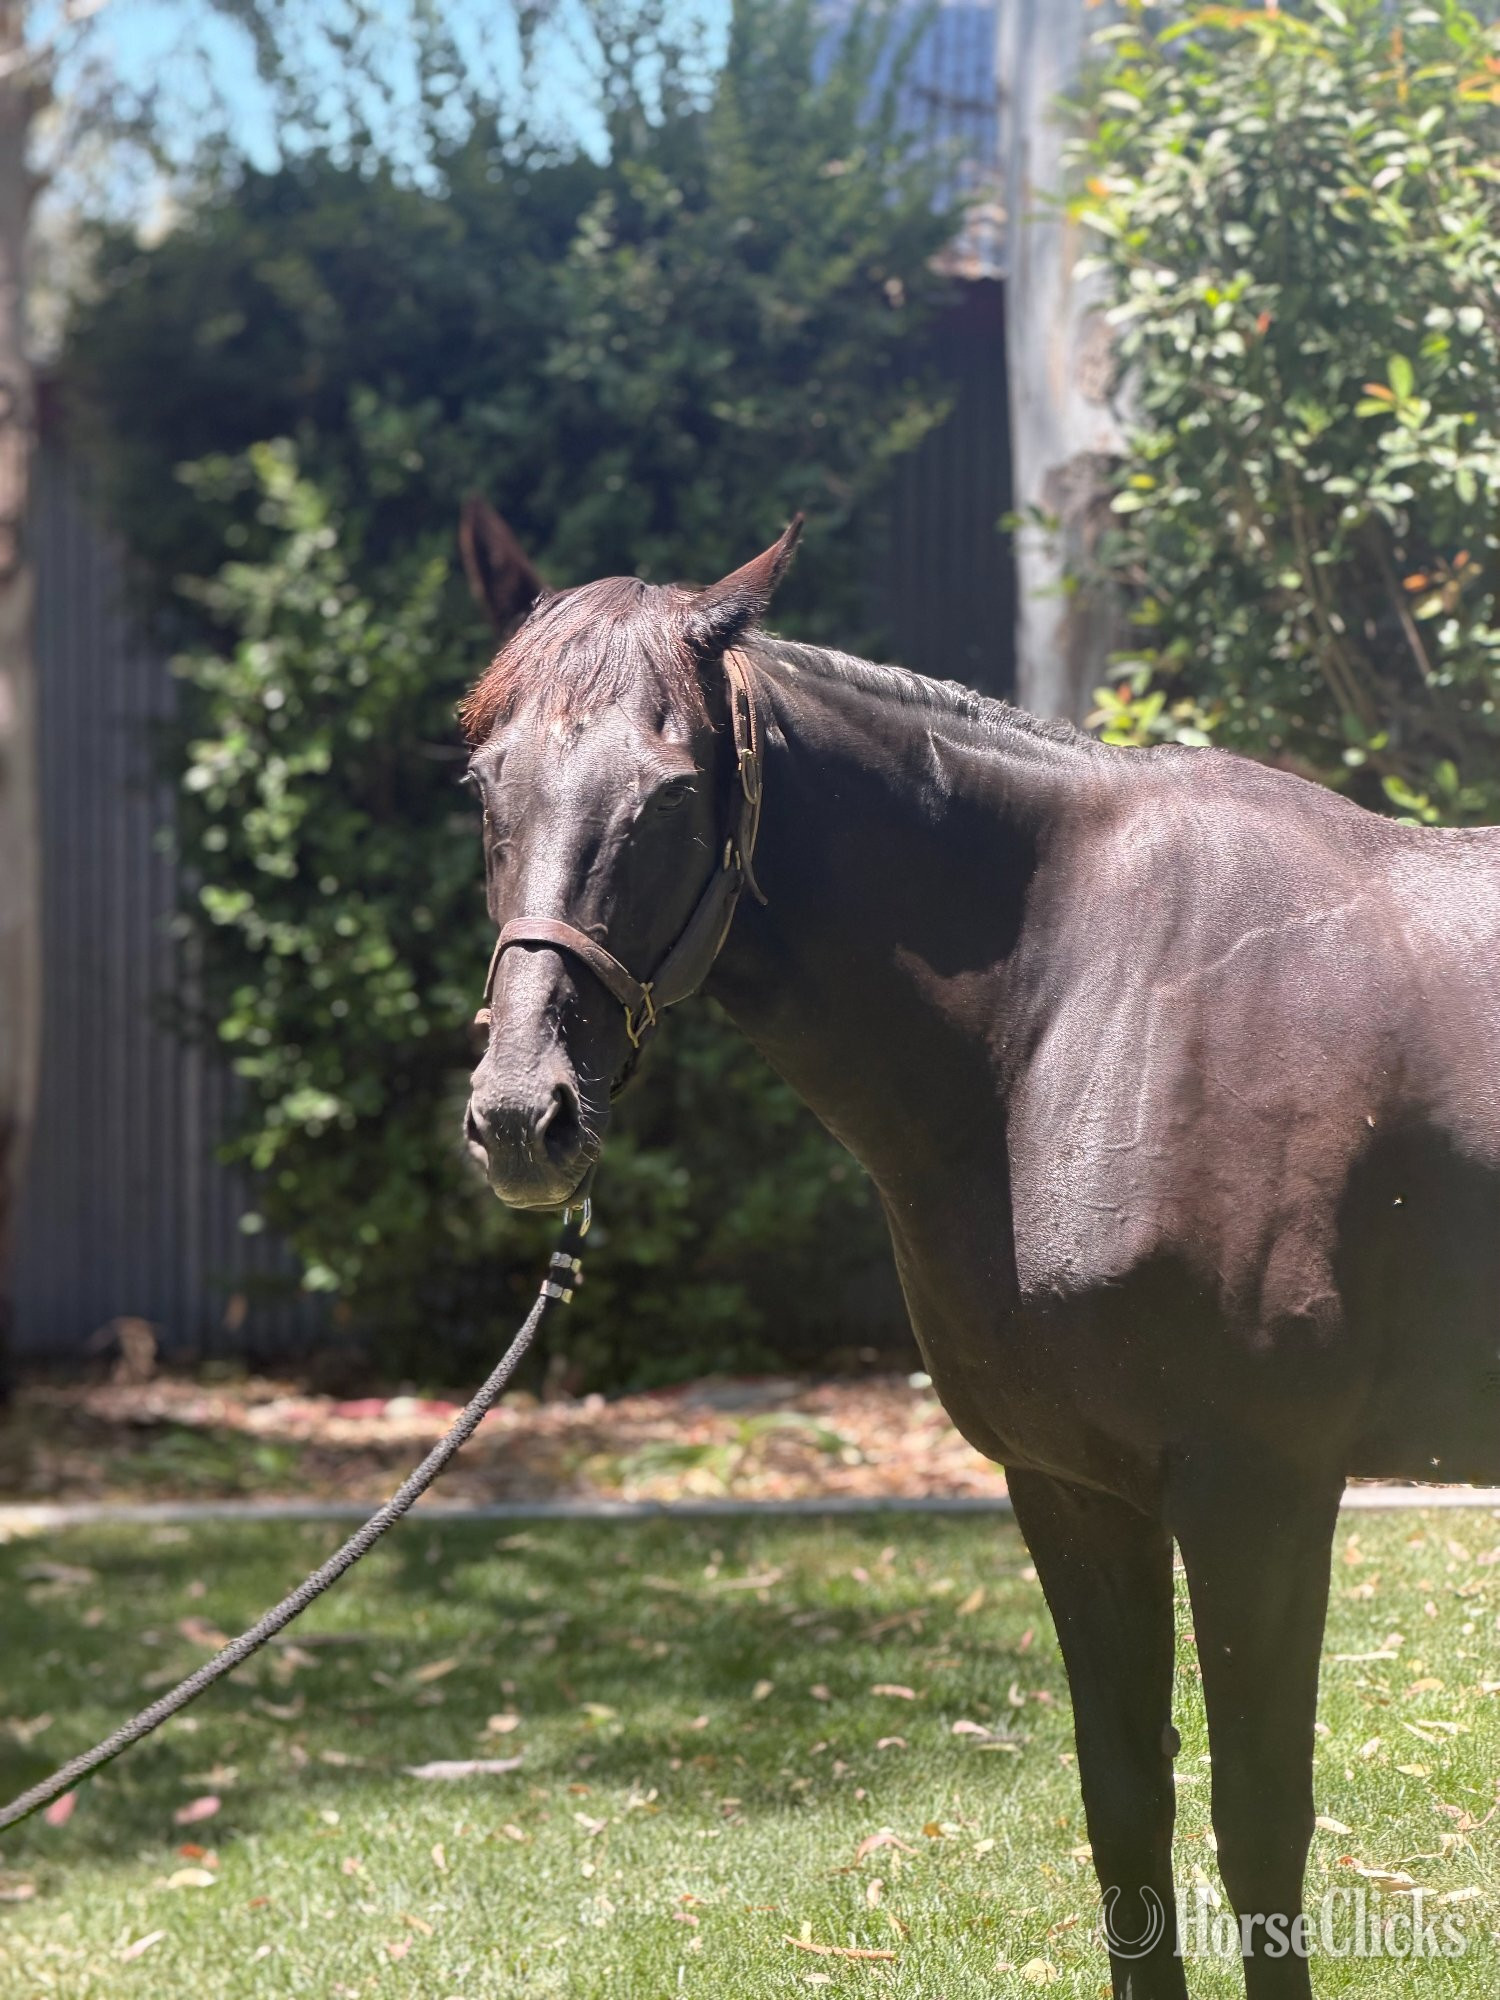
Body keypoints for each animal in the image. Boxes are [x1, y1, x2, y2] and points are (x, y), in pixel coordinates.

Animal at [457, 506, 1500, 2000]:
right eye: (485, 785)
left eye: (667, 797)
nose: (520, 1116)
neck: (1083, 1001)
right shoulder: (1071, 1488)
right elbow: (1127, 1808)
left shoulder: (1260, 1492)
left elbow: (1260, 1825)